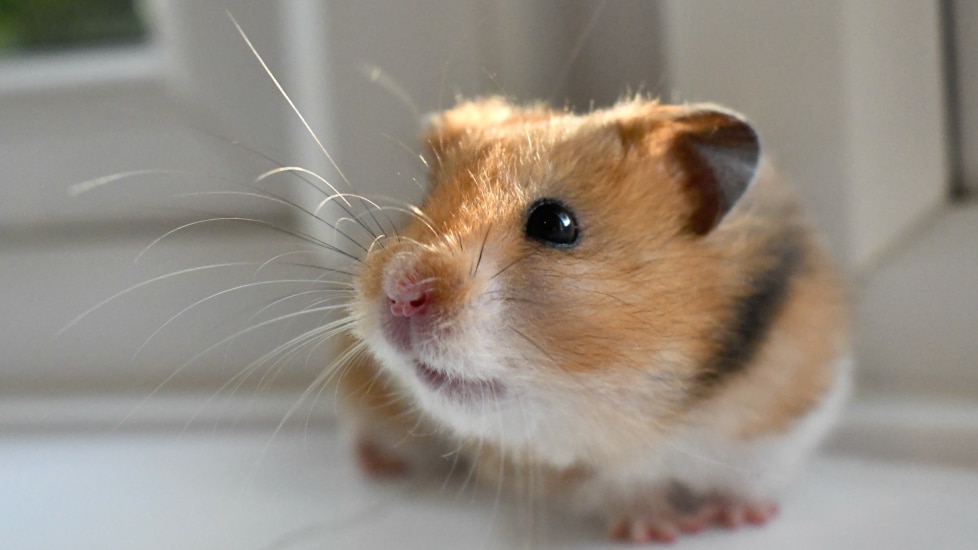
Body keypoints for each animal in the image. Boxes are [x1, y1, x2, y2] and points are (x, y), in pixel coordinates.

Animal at [337, 97, 851, 543]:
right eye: (424, 200)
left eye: (555, 223)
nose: (398, 293)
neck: (643, 407)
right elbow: (626, 490)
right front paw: (659, 531)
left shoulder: (785, 419)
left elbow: (748, 478)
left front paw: (740, 519)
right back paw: (376, 463)